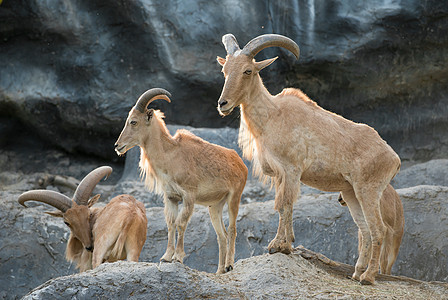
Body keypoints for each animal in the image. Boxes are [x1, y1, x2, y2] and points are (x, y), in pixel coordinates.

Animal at [18, 166, 147, 272]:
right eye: (67, 222)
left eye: (89, 215)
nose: (89, 246)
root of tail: (130, 215)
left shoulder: (86, 262)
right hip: (133, 249)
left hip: (101, 247)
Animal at [114, 87, 248, 274]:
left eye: (133, 122)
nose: (117, 146)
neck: (170, 155)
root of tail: (241, 164)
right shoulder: (171, 197)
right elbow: (170, 224)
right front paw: (166, 256)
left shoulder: (189, 196)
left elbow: (181, 223)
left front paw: (178, 257)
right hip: (215, 205)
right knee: (222, 235)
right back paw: (219, 271)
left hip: (234, 197)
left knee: (232, 229)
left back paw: (229, 265)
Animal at [215, 34, 400, 284]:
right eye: (224, 70)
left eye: (247, 71)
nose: (223, 104)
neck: (272, 115)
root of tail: (394, 158)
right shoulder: (281, 175)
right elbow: (283, 206)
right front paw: (286, 244)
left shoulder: (291, 170)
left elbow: (284, 204)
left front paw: (278, 246)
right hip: (351, 193)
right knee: (364, 230)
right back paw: (357, 272)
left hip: (368, 191)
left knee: (378, 229)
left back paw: (368, 277)